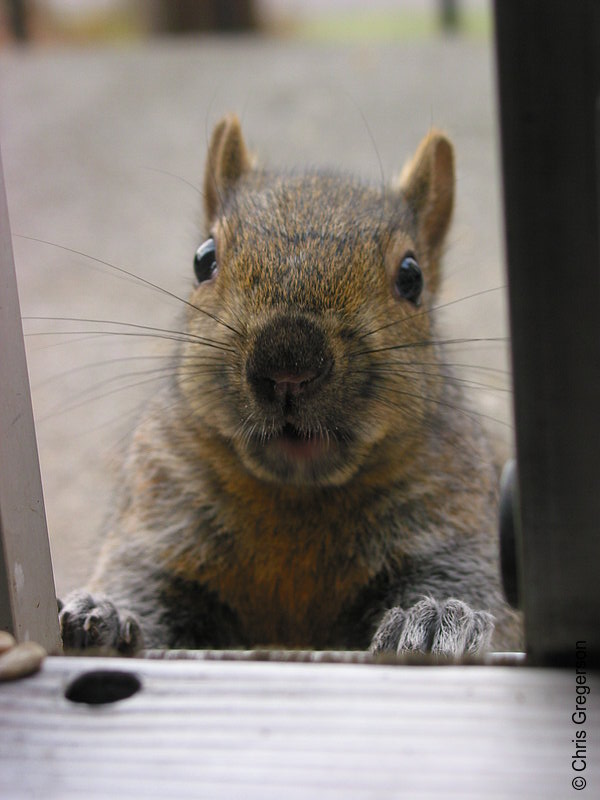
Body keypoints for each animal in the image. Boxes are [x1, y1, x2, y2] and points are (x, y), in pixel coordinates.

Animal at [58, 112, 524, 656]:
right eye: (203, 259)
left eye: (412, 277)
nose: (288, 362)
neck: (297, 498)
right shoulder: (160, 506)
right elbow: (142, 586)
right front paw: (105, 615)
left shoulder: (452, 510)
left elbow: (470, 584)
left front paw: (438, 622)